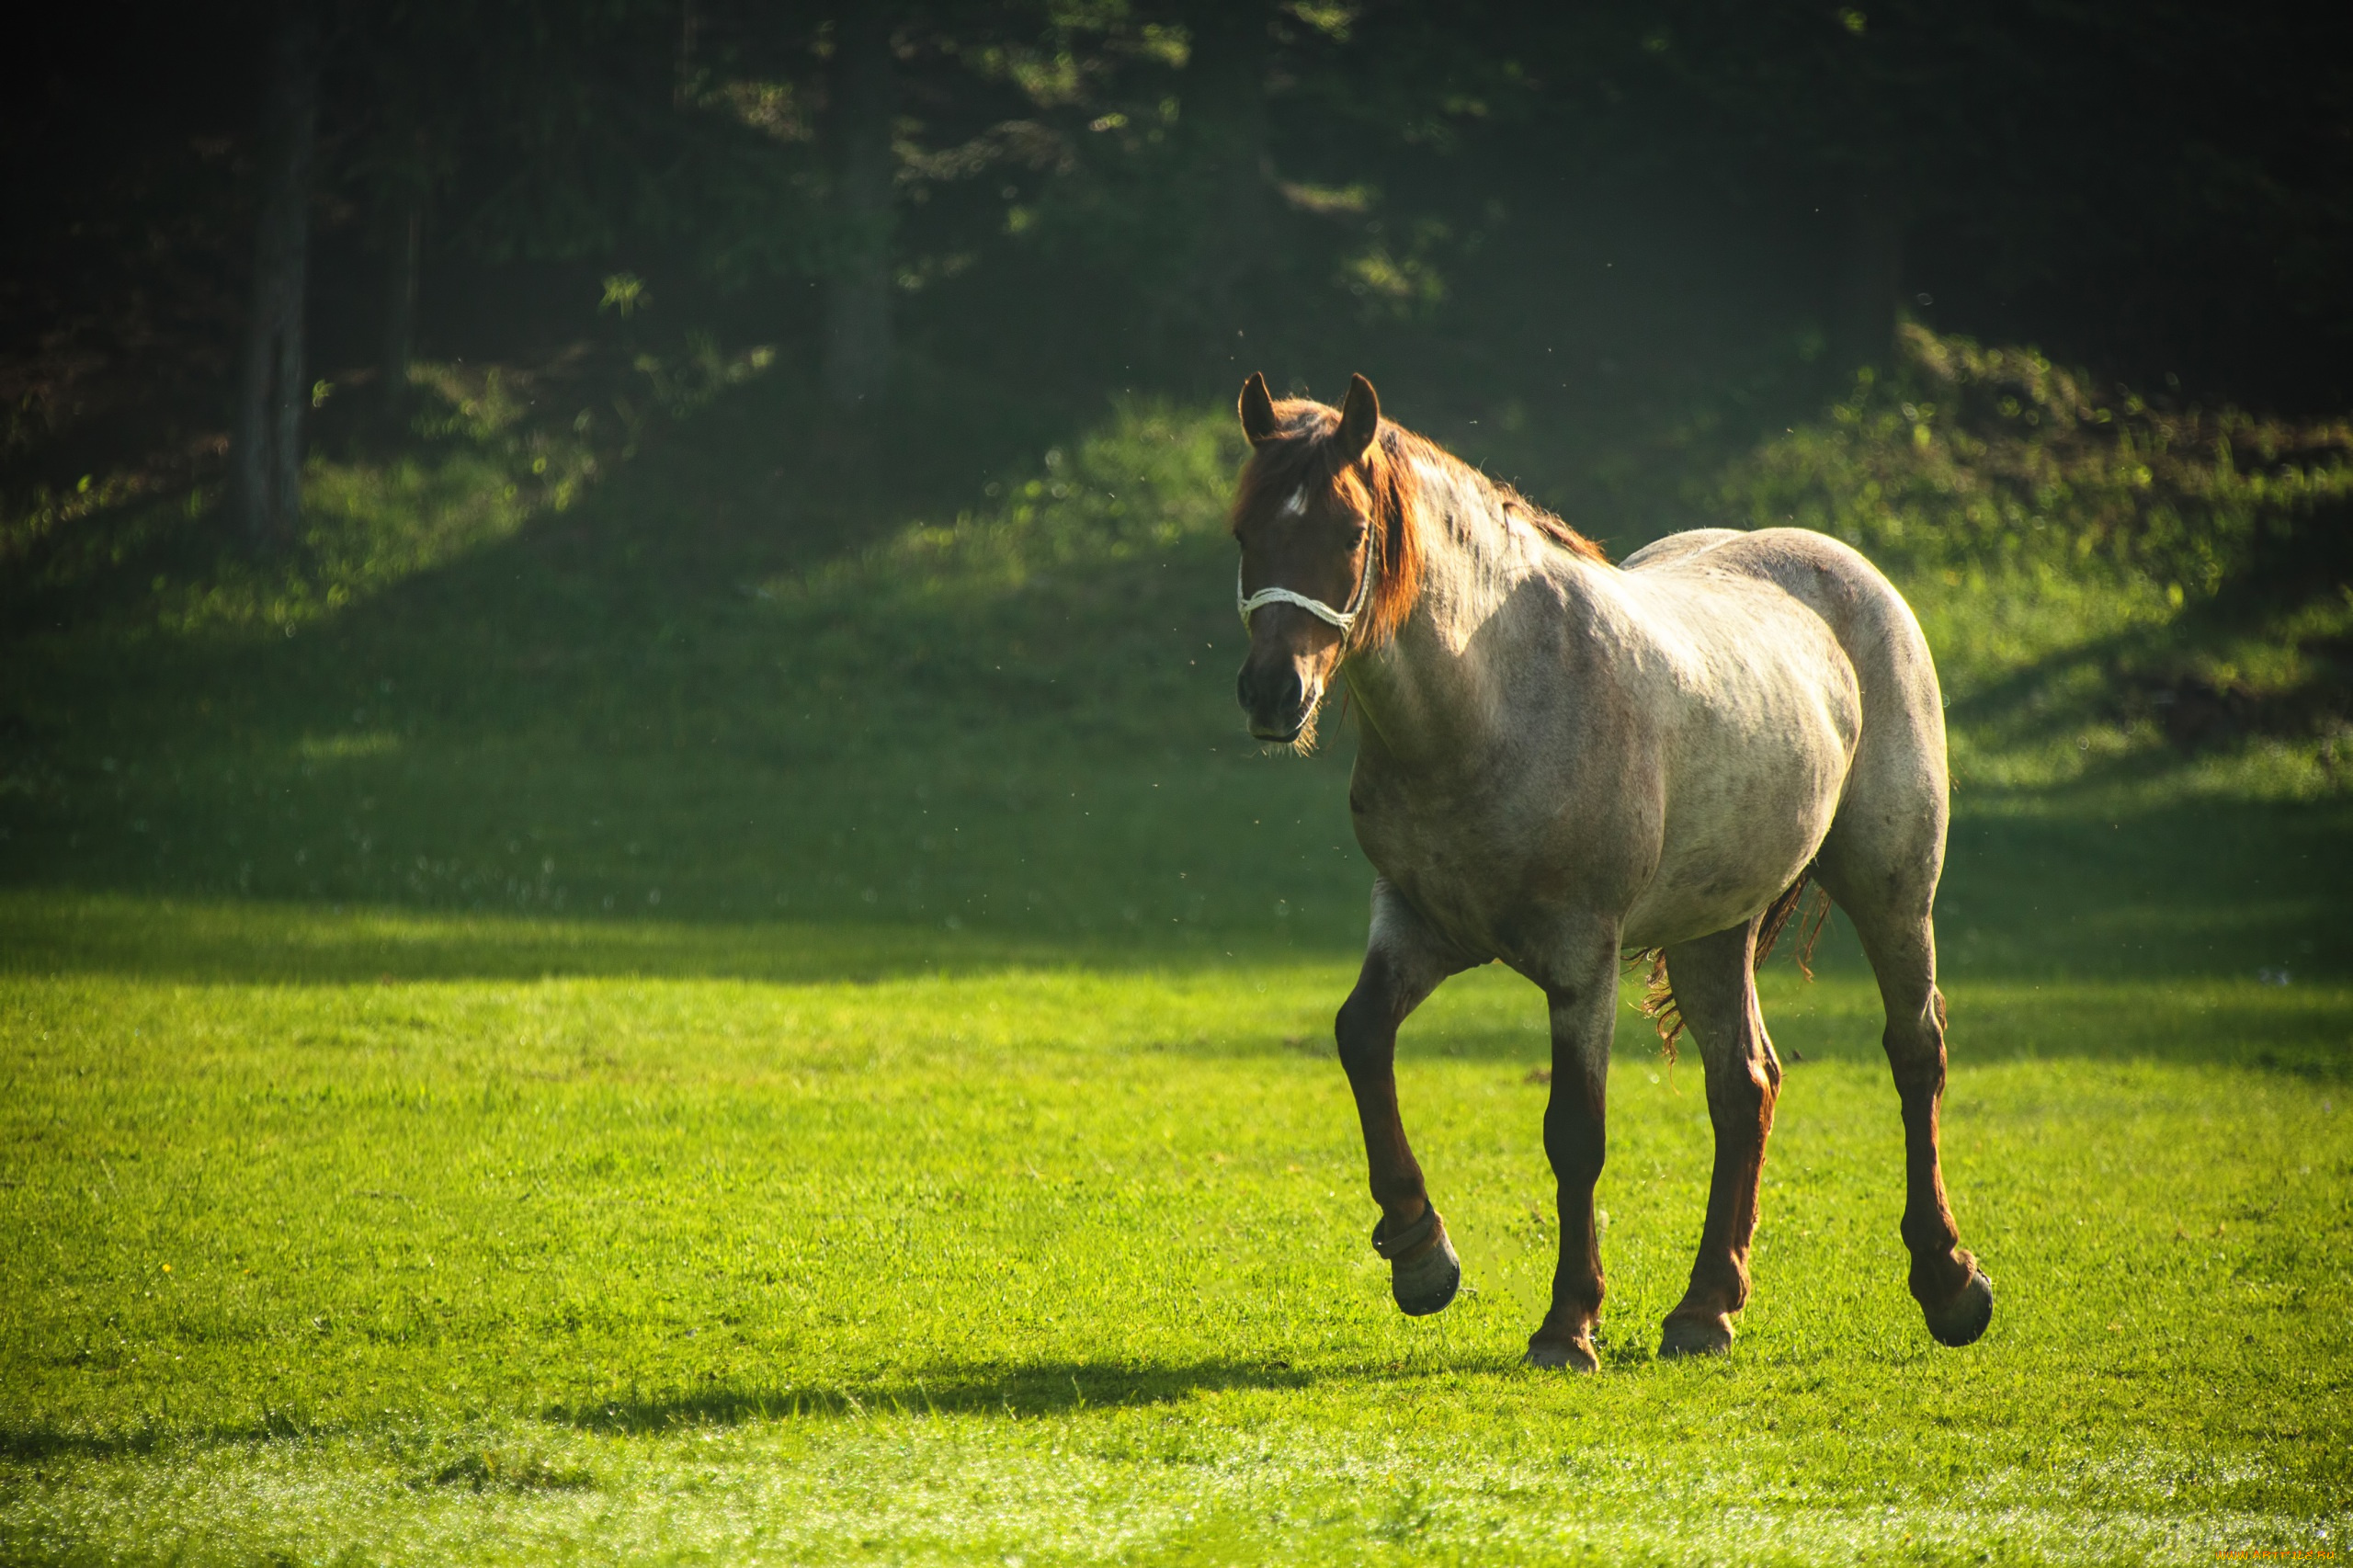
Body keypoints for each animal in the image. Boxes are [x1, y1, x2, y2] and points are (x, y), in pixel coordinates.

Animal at [1233, 371, 1985, 1365]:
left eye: (1351, 532)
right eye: (1245, 532)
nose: (1273, 692)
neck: (1495, 700)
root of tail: (1855, 576)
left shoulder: (1581, 957)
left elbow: (1575, 1133)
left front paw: (1567, 1321)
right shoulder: (1419, 923)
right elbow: (1360, 1036)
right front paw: (1421, 1253)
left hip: (1894, 889)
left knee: (1914, 1053)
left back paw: (1948, 1281)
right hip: (1713, 929)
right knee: (1743, 1086)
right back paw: (1705, 1307)